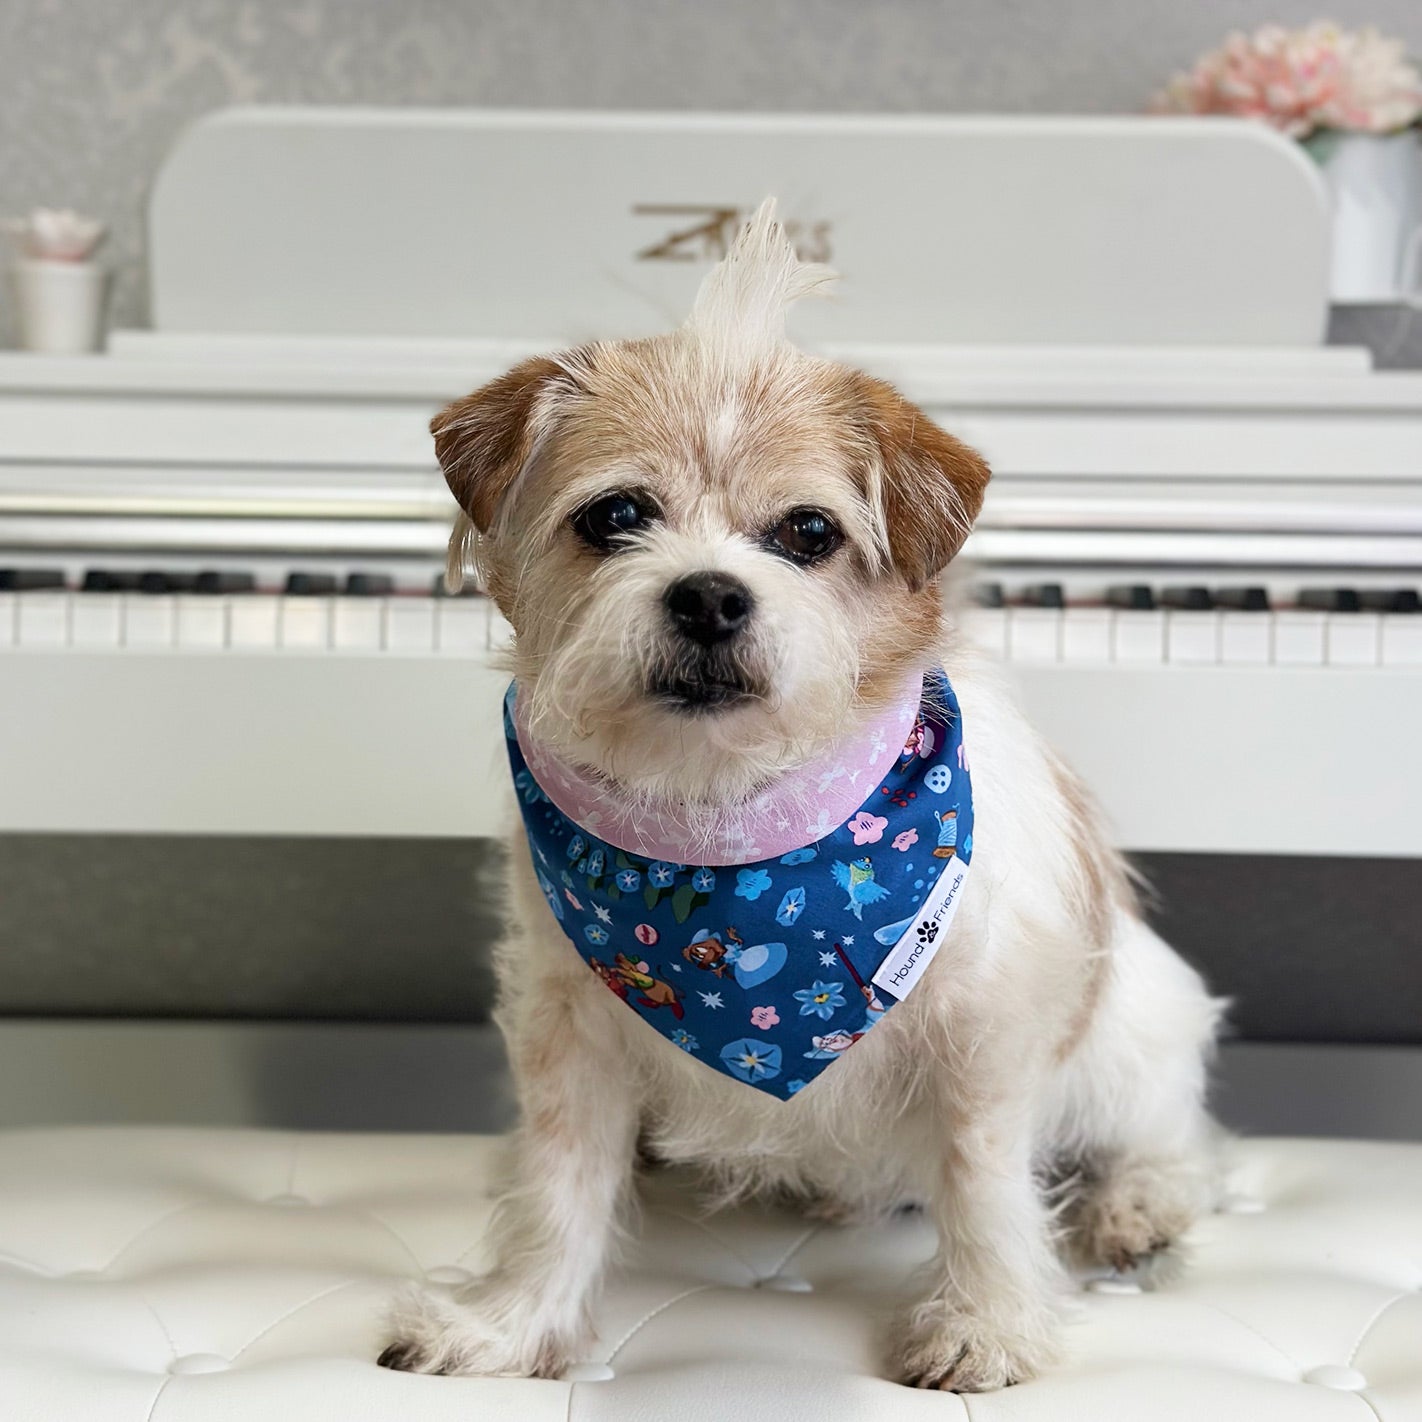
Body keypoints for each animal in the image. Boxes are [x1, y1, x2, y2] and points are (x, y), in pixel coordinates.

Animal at [381, 206, 1222, 1393]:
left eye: (808, 534)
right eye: (617, 515)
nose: (709, 595)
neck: (728, 837)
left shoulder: (982, 1036)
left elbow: (984, 1185)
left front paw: (987, 1324)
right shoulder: (566, 1032)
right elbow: (556, 1185)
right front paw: (513, 1322)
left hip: (1134, 1036)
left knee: (1175, 1145)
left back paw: (1138, 1208)